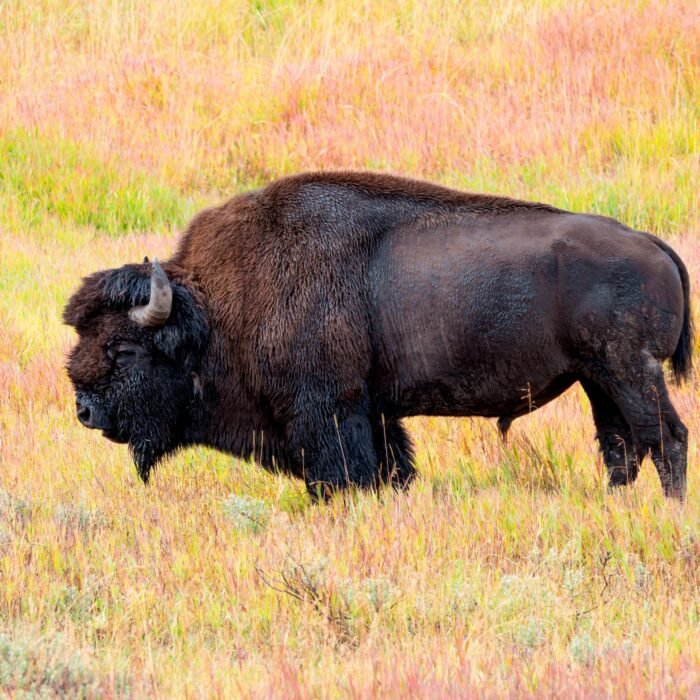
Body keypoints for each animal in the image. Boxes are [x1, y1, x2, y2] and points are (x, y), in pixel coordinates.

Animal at [64, 172, 691, 499]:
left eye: (123, 348)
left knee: (665, 437)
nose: (85, 411)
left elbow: (343, 475)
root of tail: (649, 242)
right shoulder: (376, 412)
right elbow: (395, 467)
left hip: (629, 370)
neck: (214, 309)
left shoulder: (328, 412)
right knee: (621, 445)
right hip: (597, 378)